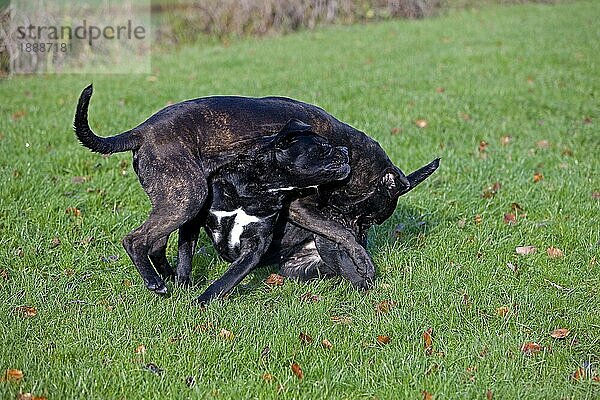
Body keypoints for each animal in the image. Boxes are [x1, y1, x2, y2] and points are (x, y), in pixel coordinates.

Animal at [75, 84, 438, 296]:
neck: (349, 148)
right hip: (188, 197)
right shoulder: (303, 208)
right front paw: (362, 258)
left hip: (176, 201)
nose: (364, 238)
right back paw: (155, 282)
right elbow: (337, 230)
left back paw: (170, 276)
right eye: (366, 219)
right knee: (136, 240)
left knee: (156, 242)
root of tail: (142, 130)